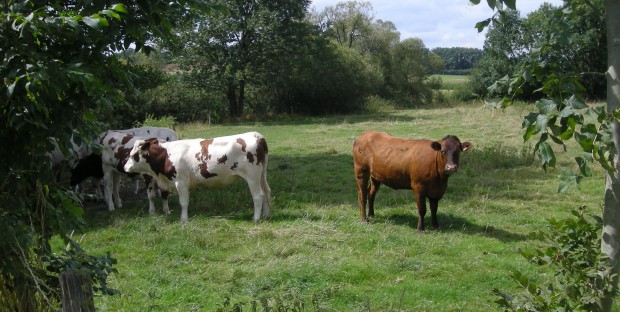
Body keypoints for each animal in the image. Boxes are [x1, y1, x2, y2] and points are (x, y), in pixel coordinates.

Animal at [123, 131, 272, 222]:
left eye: (133, 155)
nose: (124, 168)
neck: (167, 155)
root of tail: (256, 135)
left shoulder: (181, 182)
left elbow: (183, 202)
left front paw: (183, 220)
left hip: (252, 176)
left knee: (258, 195)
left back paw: (256, 218)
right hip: (261, 175)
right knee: (266, 192)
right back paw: (265, 215)